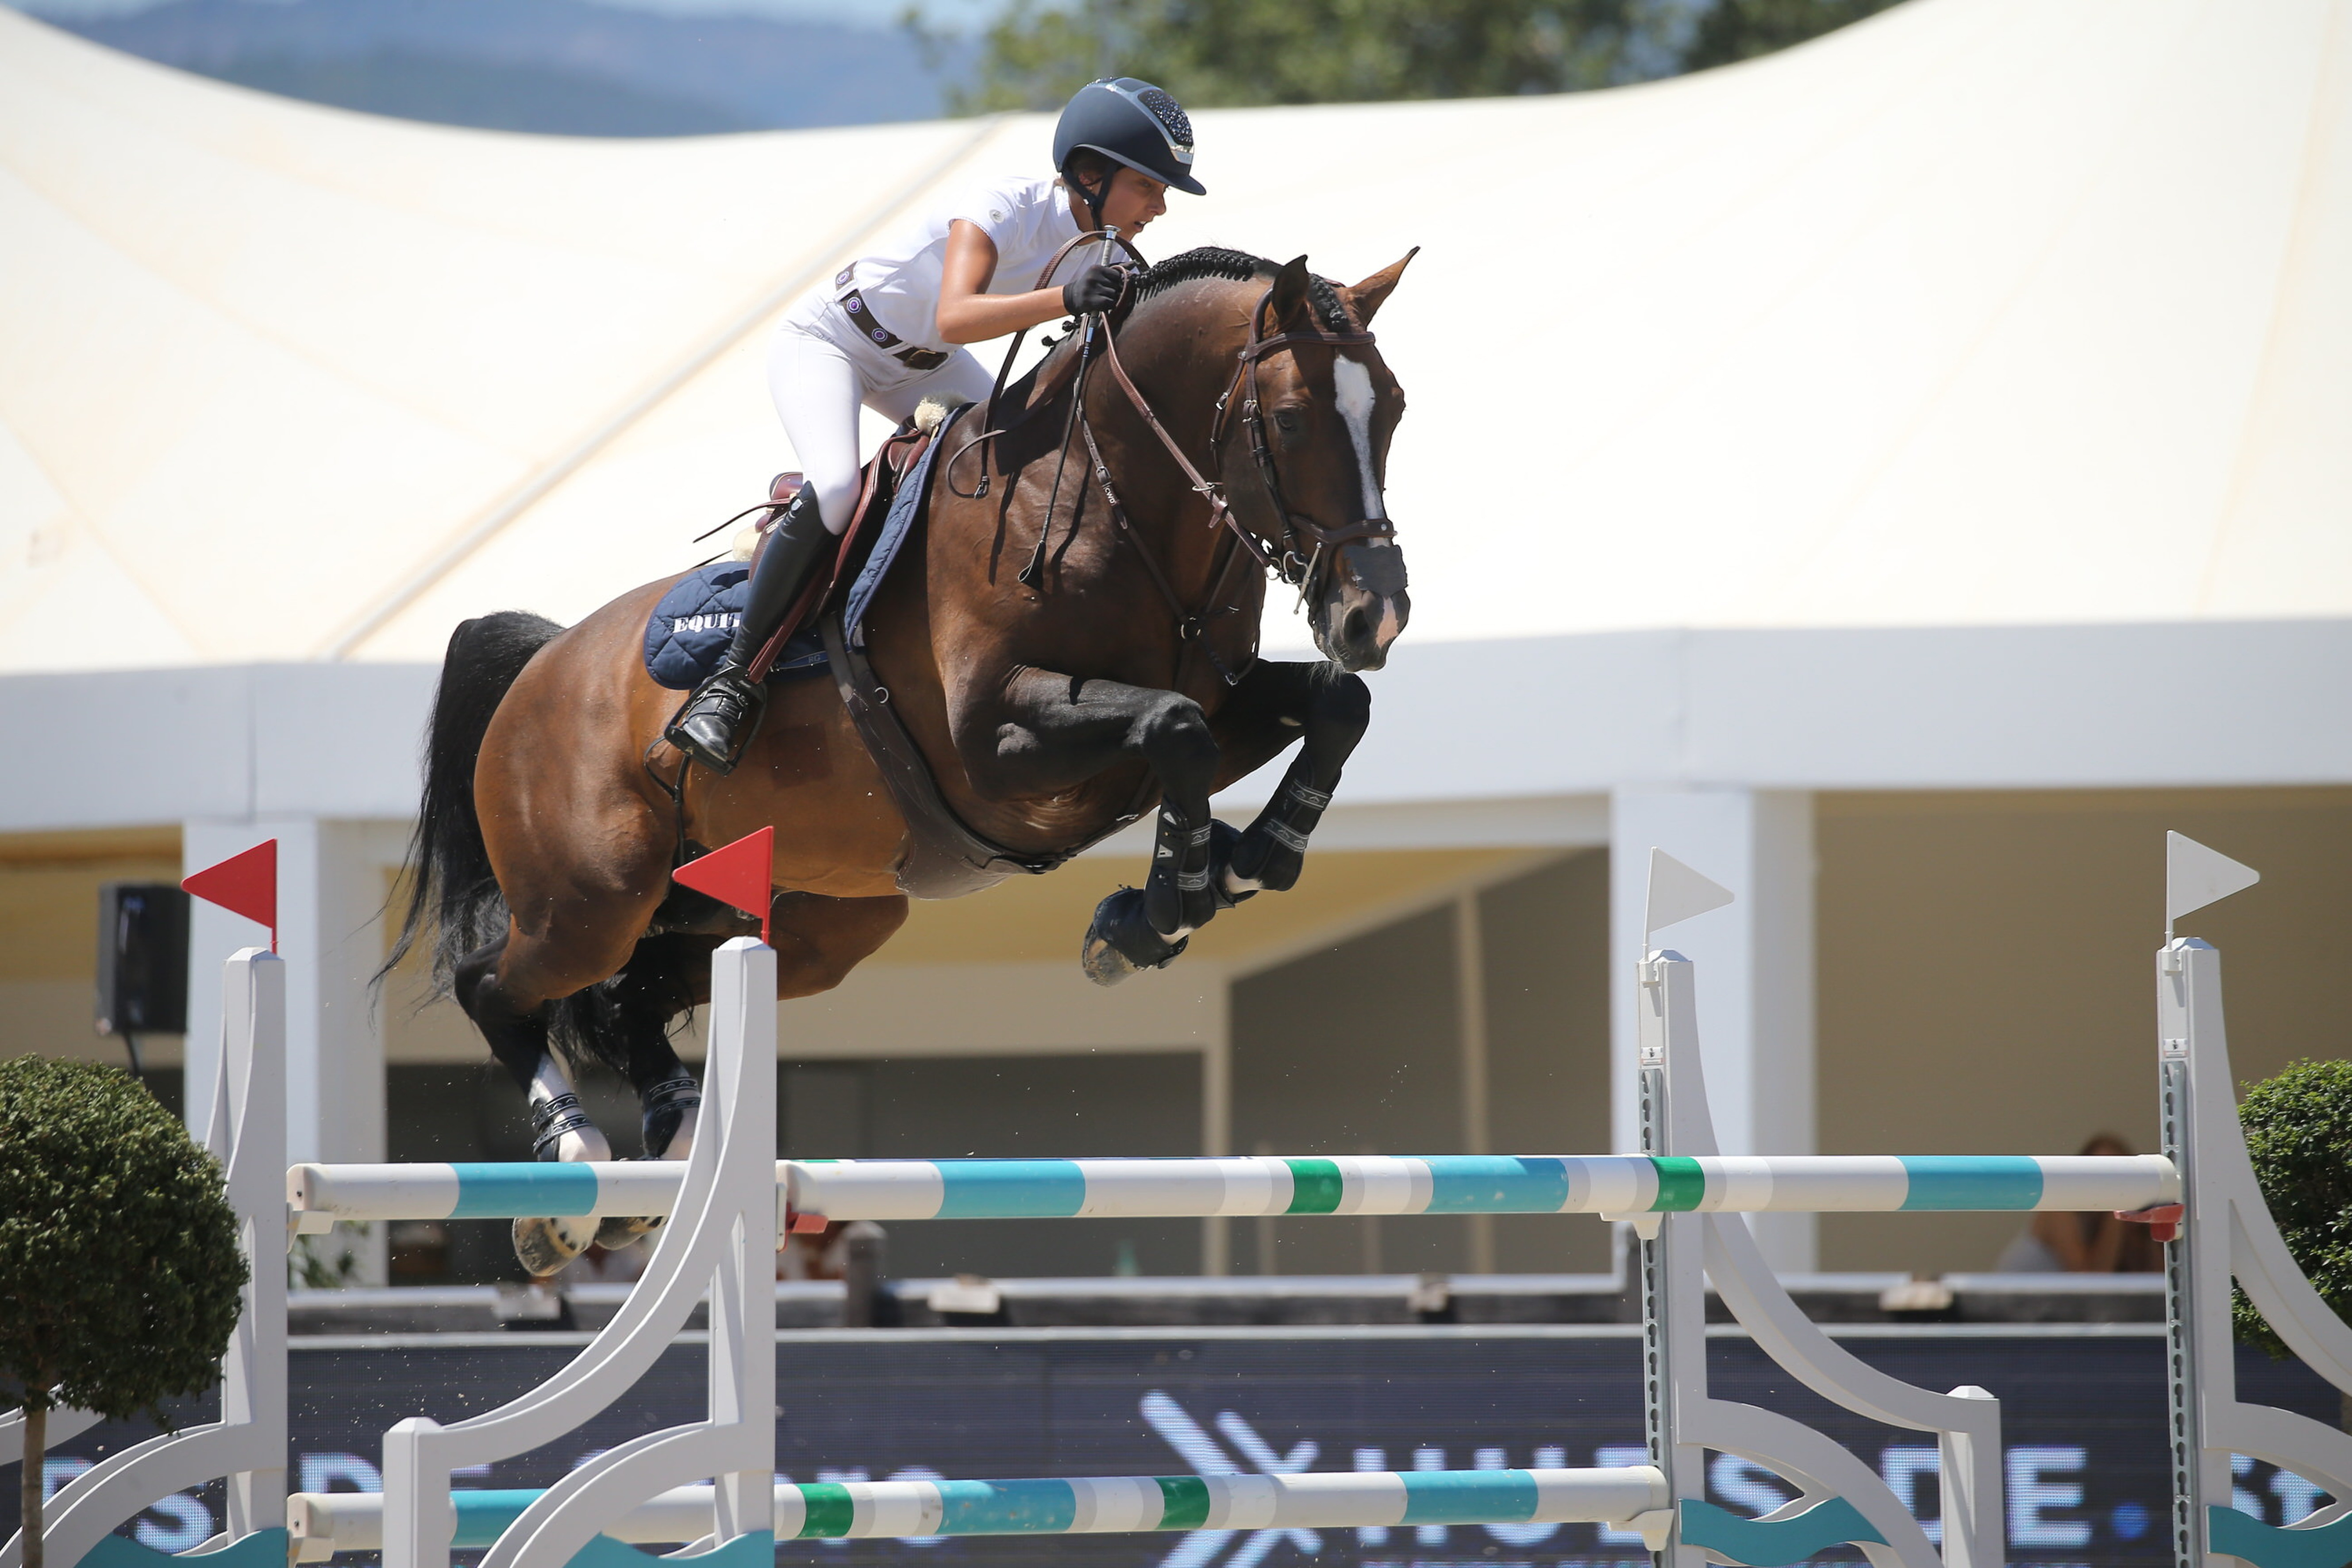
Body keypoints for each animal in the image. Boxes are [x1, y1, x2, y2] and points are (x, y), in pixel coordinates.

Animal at [385, 246, 1411, 1279]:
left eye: (1394, 409)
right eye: (1291, 417)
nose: (1374, 617)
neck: (1106, 500)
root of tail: (543, 660)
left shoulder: (1212, 702)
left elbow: (1329, 706)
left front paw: (1236, 867)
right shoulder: (997, 745)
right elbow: (1174, 728)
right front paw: (1162, 910)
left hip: (797, 919)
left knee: (634, 994)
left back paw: (664, 1155)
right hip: (591, 902)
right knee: (496, 984)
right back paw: (569, 1170)